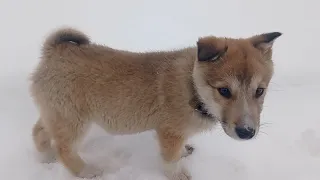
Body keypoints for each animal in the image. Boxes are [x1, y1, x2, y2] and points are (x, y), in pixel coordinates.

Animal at [29, 27, 280, 180]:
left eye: (260, 91)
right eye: (224, 91)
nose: (247, 133)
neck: (192, 87)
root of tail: (54, 51)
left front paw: (185, 152)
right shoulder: (169, 133)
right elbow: (170, 159)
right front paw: (178, 174)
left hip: (56, 113)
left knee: (39, 131)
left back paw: (46, 156)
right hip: (73, 120)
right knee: (65, 149)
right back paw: (86, 170)